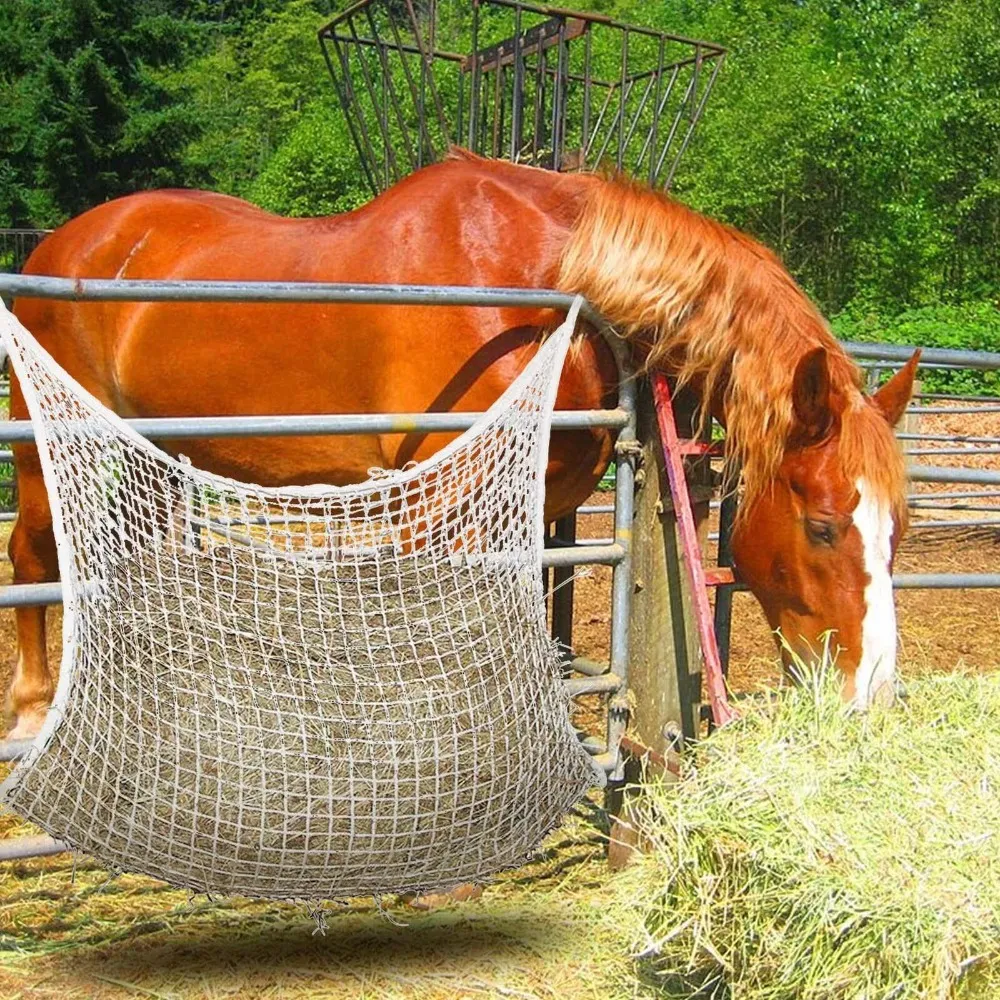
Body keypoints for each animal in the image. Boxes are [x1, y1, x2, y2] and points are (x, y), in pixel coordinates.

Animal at [7, 148, 918, 741]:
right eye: (823, 527)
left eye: (898, 535)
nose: (871, 695)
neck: (549, 285)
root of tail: (65, 244)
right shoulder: (435, 502)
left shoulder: (537, 502)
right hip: (48, 450)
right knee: (33, 557)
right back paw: (34, 705)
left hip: (149, 457)